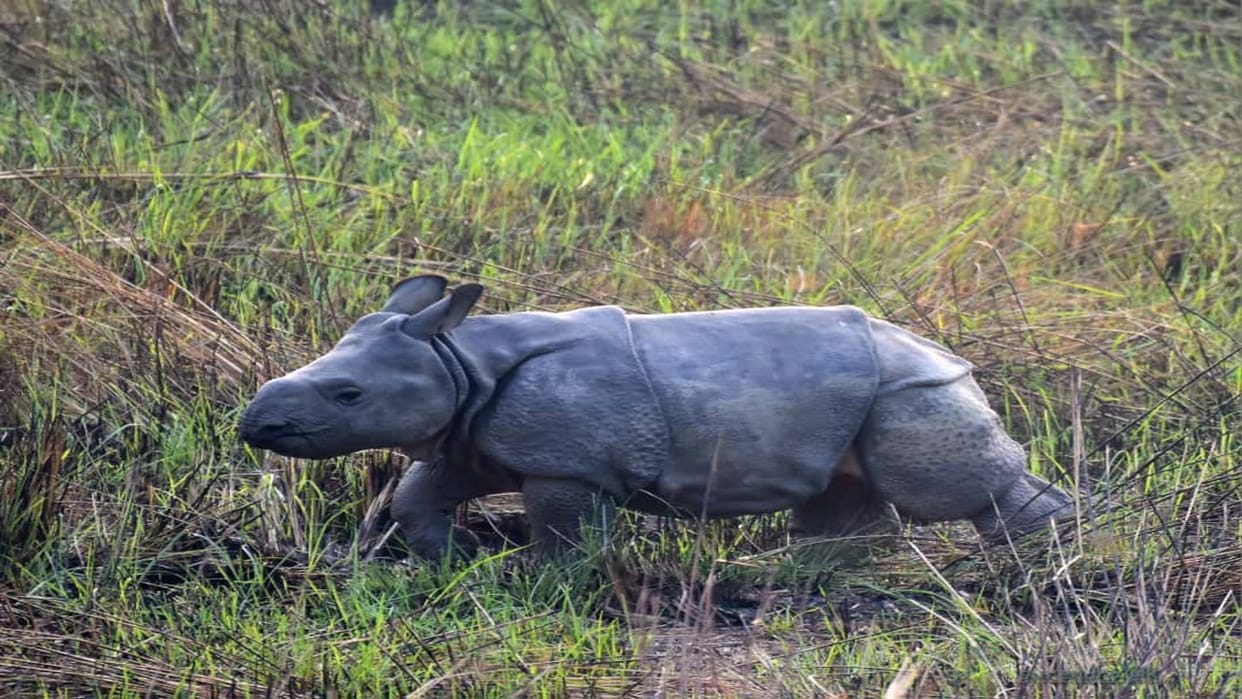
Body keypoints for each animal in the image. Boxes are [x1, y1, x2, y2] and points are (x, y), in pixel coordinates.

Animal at [238, 275, 1073, 559]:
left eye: (347, 395)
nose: (254, 426)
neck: (460, 355)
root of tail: (948, 352)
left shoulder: (567, 459)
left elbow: (563, 527)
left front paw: (543, 578)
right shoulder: (478, 436)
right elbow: (419, 493)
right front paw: (452, 560)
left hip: (914, 389)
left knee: (944, 487)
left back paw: (1031, 566)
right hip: (866, 396)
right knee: (845, 486)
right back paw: (808, 575)